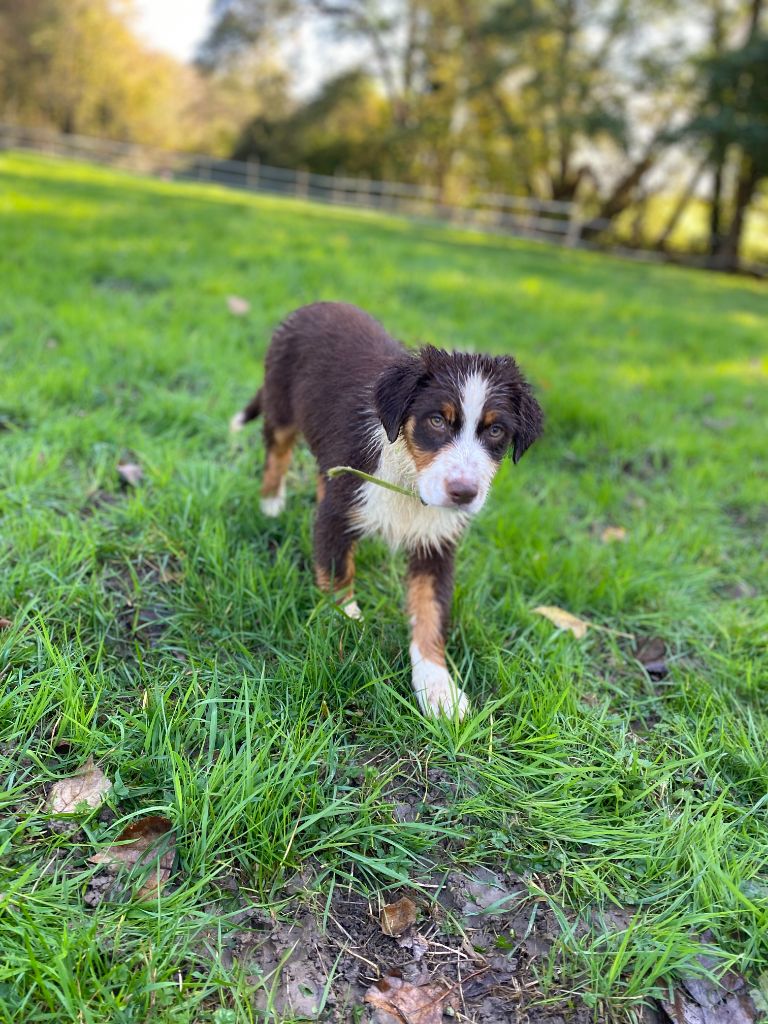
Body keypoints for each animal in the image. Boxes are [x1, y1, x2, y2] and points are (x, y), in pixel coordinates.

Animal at [231, 301, 544, 720]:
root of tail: (319, 303)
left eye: (496, 432)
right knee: (276, 455)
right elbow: (338, 579)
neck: (409, 479)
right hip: (280, 405)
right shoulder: (339, 512)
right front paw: (349, 633)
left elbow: (430, 615)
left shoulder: (436, 544)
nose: (463, 493)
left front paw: (438, 690)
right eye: (436, 420)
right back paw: (270, 506)